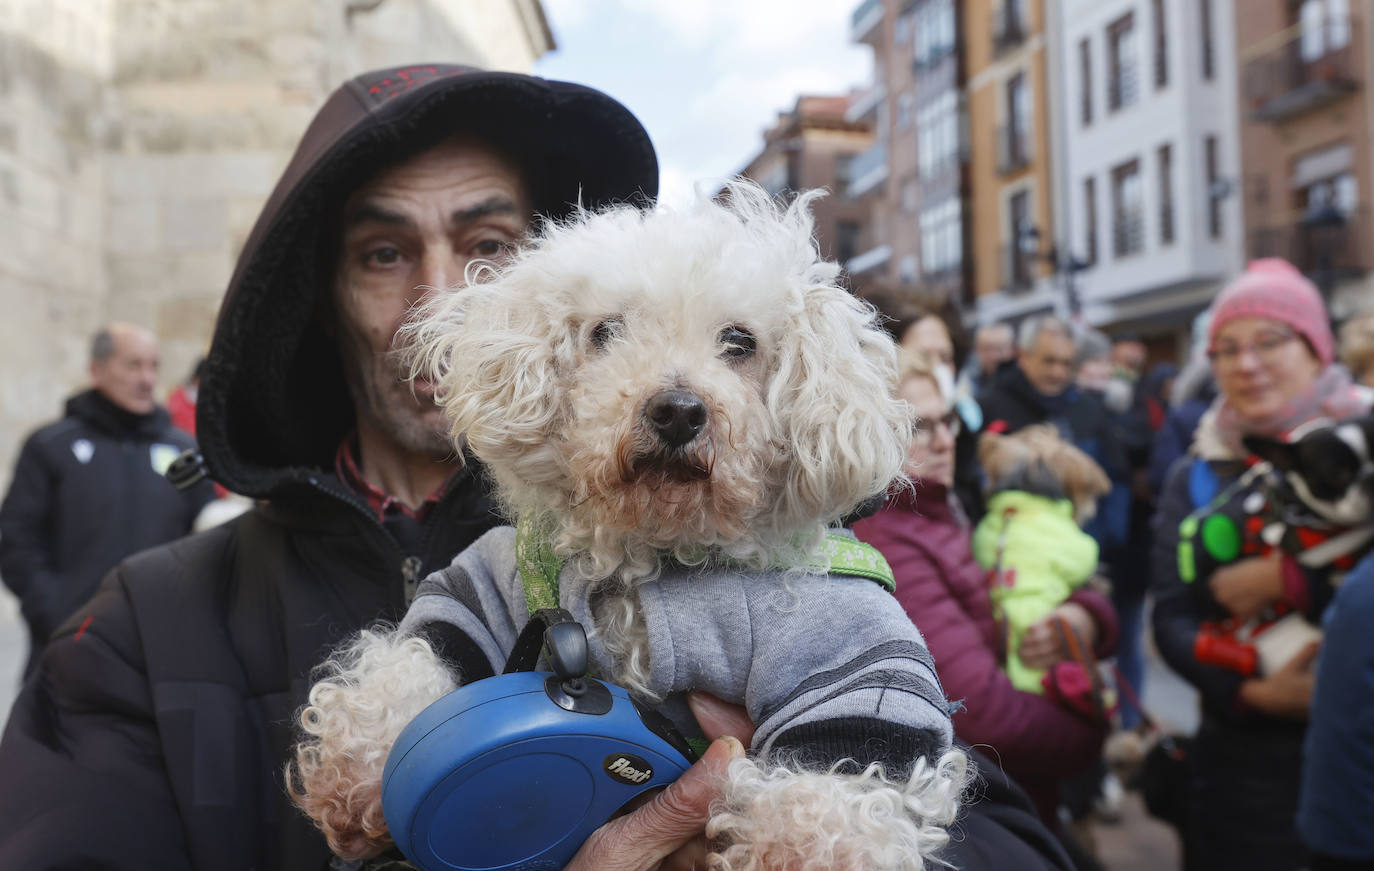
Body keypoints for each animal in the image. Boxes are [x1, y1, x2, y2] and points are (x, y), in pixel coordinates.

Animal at [289, 179, 967, 862]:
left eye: (740, 341)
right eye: (605, 331)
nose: (678, 411)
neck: (652, 554)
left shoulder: (844, 647)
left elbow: (850, 755)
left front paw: (803, 849)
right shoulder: (485, 586)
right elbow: (427, 644)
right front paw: (356, 766)